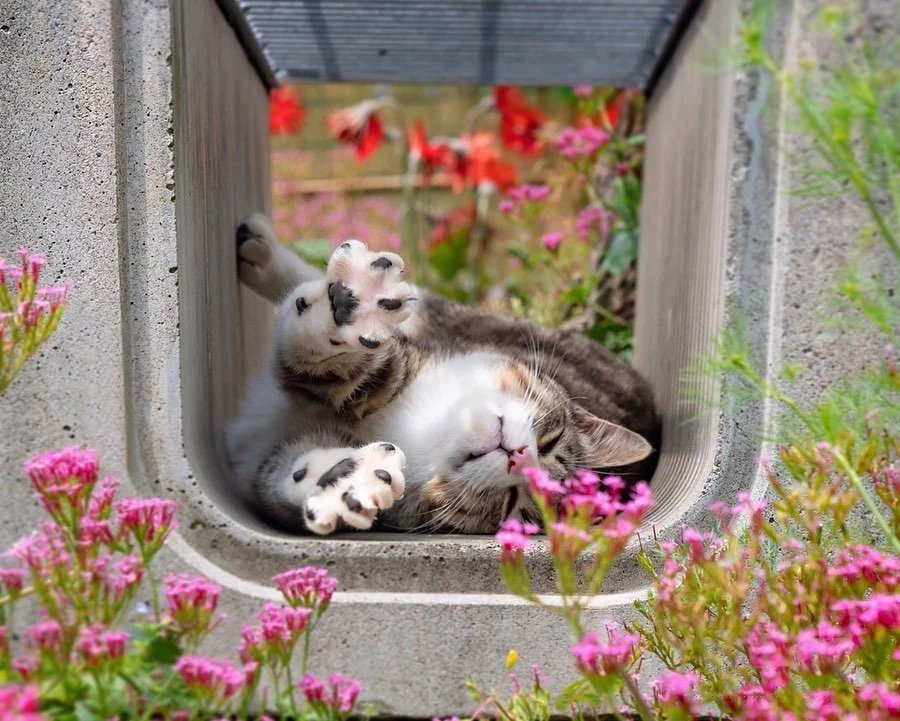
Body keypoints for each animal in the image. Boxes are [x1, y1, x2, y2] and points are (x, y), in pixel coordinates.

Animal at [225, 214, 660, 536]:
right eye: (551, 442)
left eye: (517, 506)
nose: (520, 456)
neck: (425, 431)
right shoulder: (410, 356)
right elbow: (366, 363)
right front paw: (354, 308)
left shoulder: (262, 465)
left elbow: (284, 474)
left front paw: (346, 481)